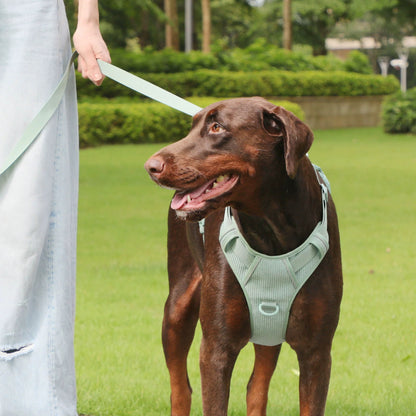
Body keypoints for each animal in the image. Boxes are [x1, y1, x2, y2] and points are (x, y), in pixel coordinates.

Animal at [145, 97, 342, 416]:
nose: (151, 166)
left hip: (269, 330)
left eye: (217, 127)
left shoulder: (317, 352)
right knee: (180, 389)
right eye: (192, 127)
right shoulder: (216, 348)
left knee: (256, 388)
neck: (273, 235)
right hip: (177, 307)